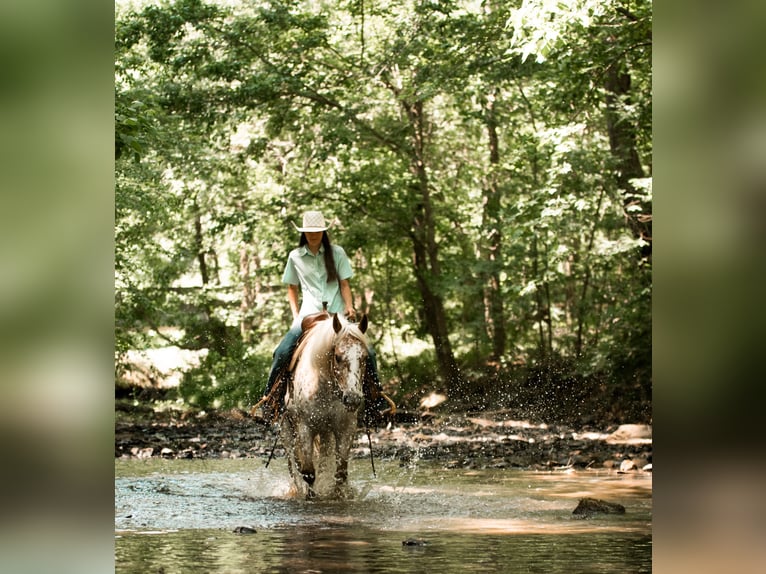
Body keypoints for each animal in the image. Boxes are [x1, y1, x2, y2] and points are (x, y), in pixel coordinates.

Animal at [279, 312, 369, 499]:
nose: (352, 399)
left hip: (325, 433)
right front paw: (310, 497)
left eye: (364, 358)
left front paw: (338, 495)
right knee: (293, 464)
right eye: (338, 357)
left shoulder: (346, 428)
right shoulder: (304, 427)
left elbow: (340, 472)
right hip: (286, 429)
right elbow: (307, 472)